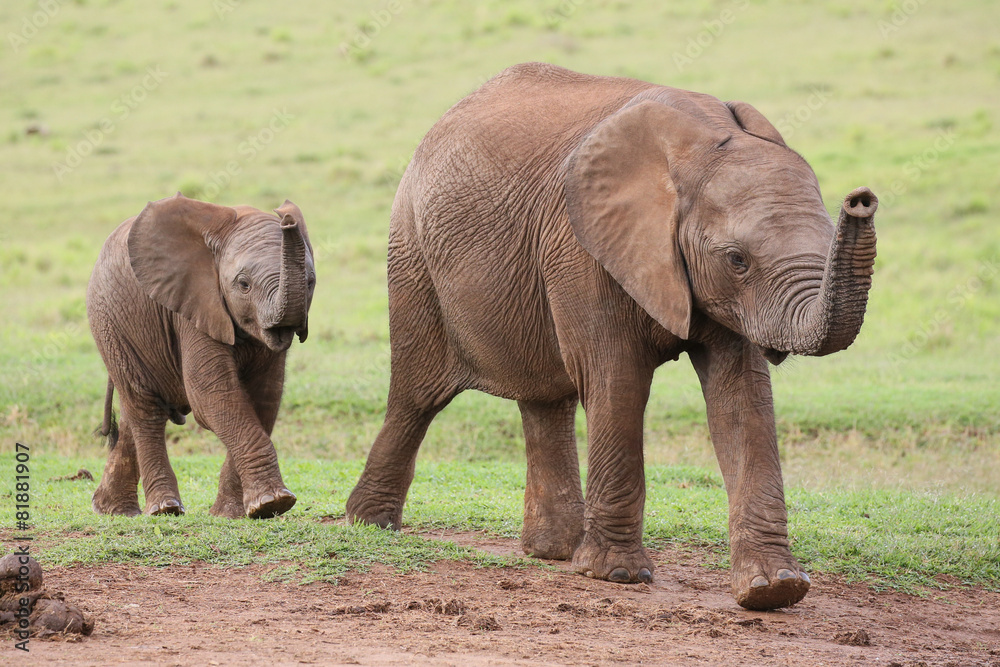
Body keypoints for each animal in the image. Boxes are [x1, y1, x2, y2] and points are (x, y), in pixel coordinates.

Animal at [87, 193, 315, 519]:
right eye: (243, 284)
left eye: (310, 282)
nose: (286, 217)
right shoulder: (194, 306)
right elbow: (212, 395)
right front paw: (275, 502)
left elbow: (264, 398)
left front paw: (236, 513)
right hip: (110, 324)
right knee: (145, 408)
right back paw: (165, 509)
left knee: (133, 413)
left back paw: (113, 511)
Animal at [345, 63, 878, 611]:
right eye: (737, 260)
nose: (861, 199)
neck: (697, 144)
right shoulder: (583, 245)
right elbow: (616, 378)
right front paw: (617, 575)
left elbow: (741, 398)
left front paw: (775, 589)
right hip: (412, 254)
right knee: (418, 394)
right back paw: (371, 524)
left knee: (544, 397)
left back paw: (553, 551)